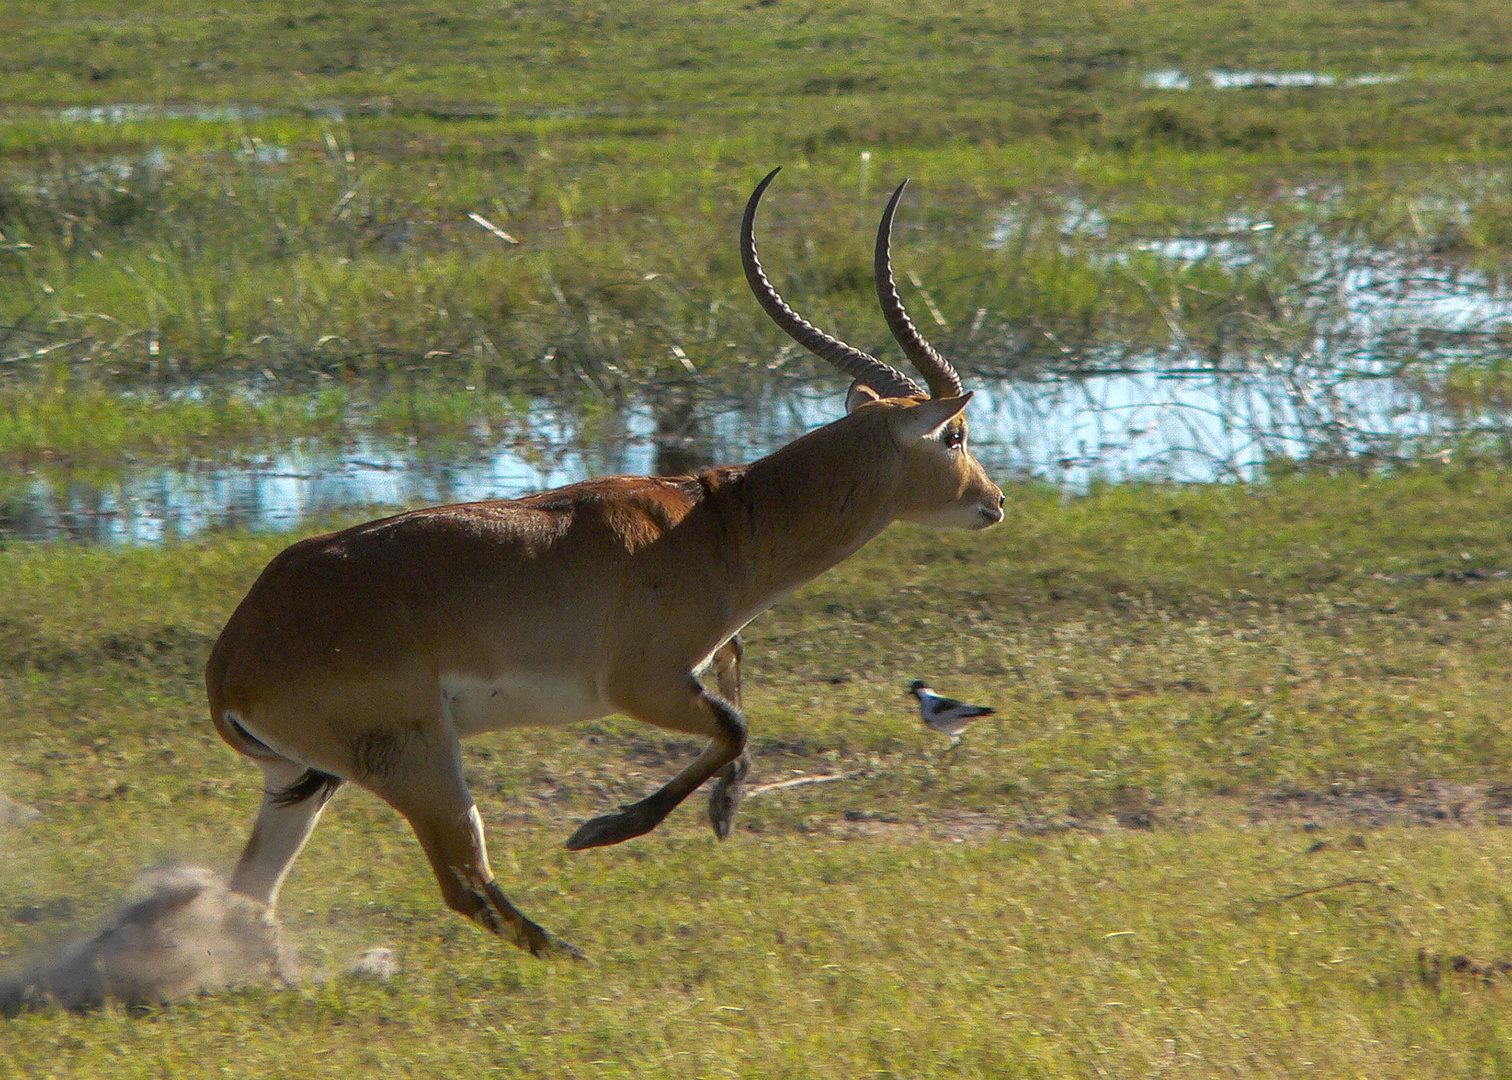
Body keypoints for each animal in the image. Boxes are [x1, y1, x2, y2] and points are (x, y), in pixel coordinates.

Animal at [204, 164, 1003, 955]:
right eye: (956, 433)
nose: (993, 501)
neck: (716, 524)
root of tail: (236, 652)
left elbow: (738, 696)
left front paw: (722, 812)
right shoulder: (642, 687)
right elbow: (734, 726)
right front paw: (602, 829)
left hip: (309, 780)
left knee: (254, 893)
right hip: (420, 762)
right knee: (463, 882)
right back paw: (573, 954)